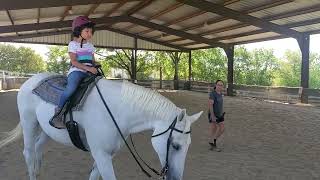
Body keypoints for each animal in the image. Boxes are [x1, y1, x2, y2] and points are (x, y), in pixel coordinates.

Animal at [0, 72, 202, 179]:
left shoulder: (105, 155)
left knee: (38, 150)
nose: (175, 177)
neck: (117, 110)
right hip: (29, 123)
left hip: (46, 131)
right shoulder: (101, 155)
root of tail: (31, 80)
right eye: (175, 145)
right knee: (28, 152)